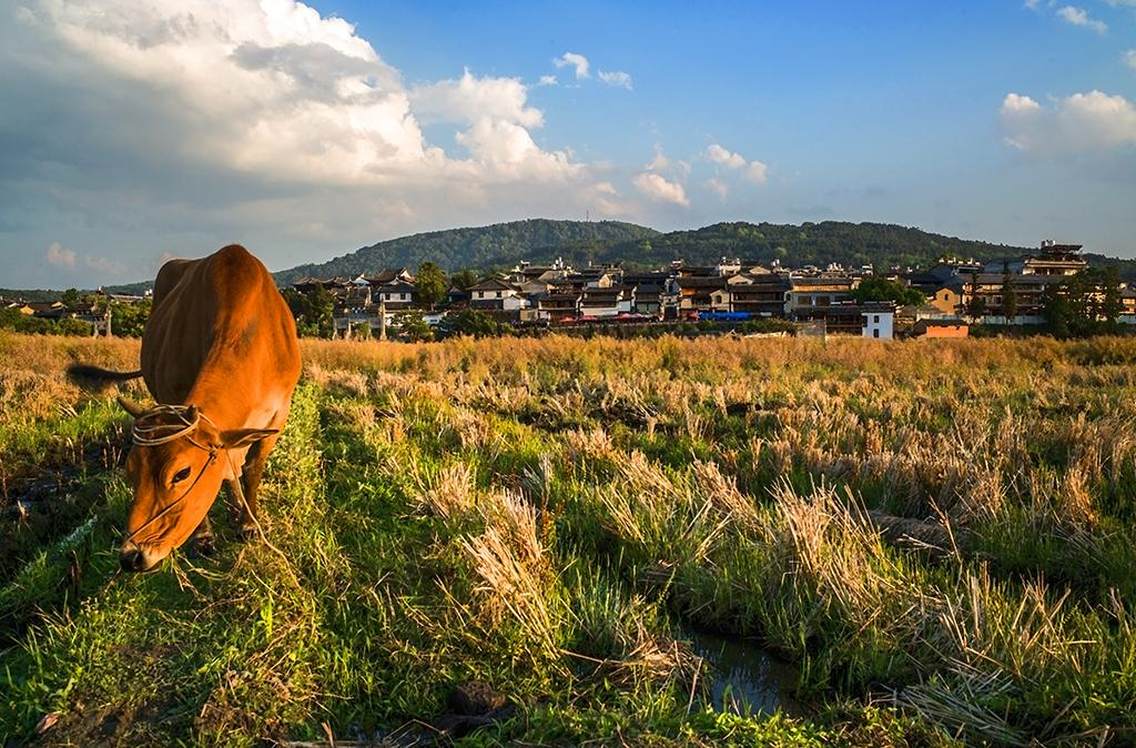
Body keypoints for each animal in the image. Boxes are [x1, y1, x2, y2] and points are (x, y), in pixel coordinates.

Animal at [69, 244, 302, 570]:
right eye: (130, 471)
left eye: (181, 474)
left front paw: (248, 524)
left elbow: (252, 469)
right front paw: (204, 537)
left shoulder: (278, 413)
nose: (132, 556)